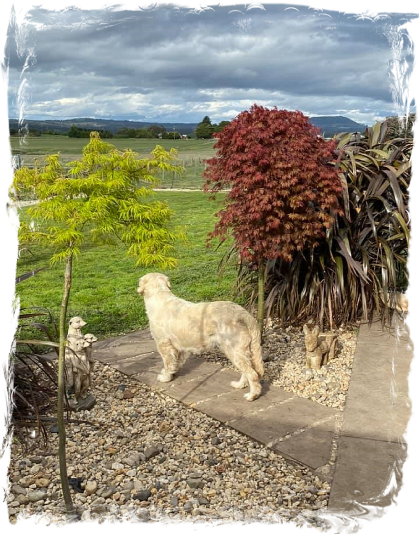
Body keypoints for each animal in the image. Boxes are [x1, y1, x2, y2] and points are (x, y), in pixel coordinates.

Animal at [138, 272, 264, 402]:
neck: (159, 295)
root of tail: (243, 313)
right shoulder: (179, 348)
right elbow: (175, 362)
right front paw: (172, 373)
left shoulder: (164, 345)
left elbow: (168, 363)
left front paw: (165, 377)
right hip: (242, 352)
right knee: (248, 371)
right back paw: (239, 385)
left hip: (233, 351)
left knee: (252, 374)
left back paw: (252, 395)